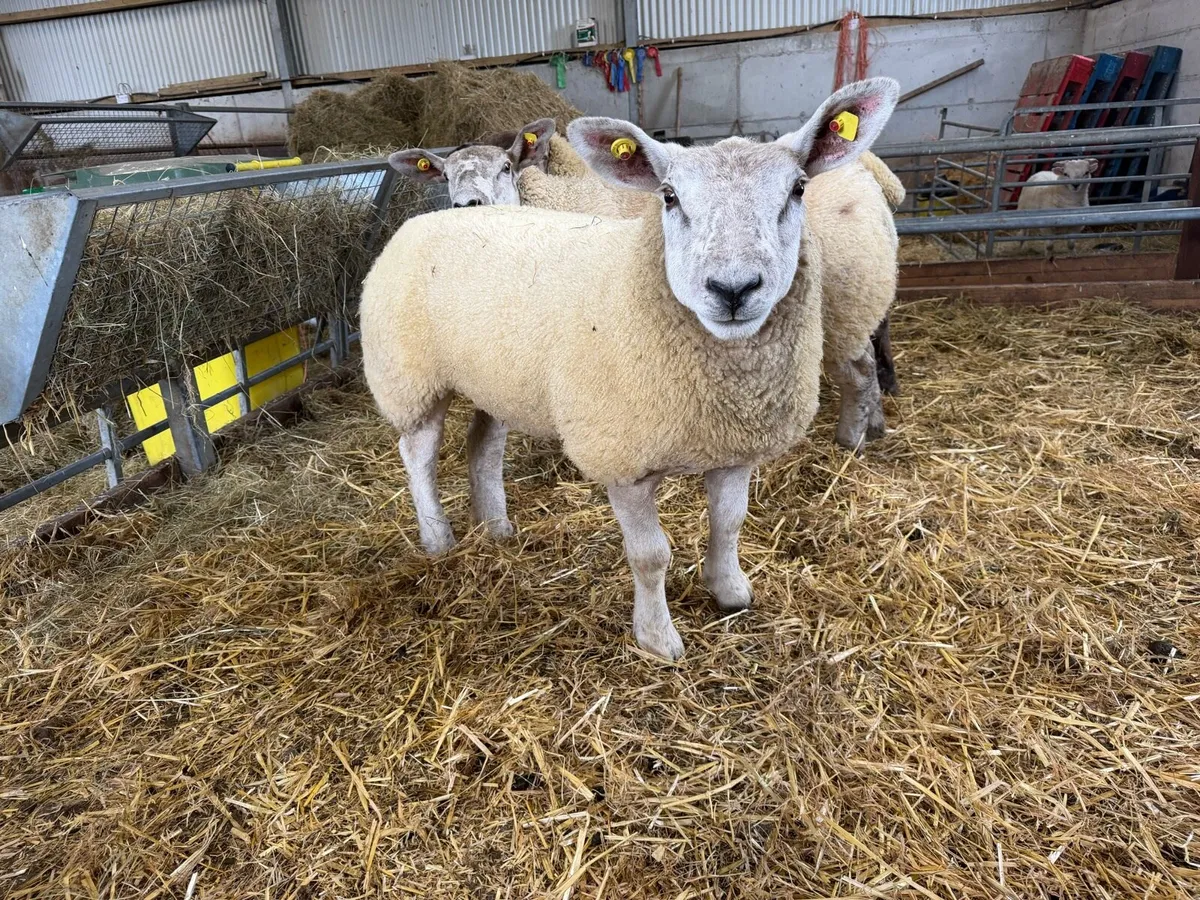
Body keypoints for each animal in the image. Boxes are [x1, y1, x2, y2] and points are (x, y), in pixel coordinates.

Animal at [361, 77, 900, 660]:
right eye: (669, 196)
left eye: (799, 189)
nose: (733, 289)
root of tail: (430, 217)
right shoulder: (623, 460)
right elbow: (651, 556)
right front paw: (658, 639)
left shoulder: (734, 445)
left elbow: (729, 523)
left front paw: (729, 592)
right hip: (410, 378)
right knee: (418, 457)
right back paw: (438, 540)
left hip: (497, 378)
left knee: (482, 447)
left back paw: (497, 528)